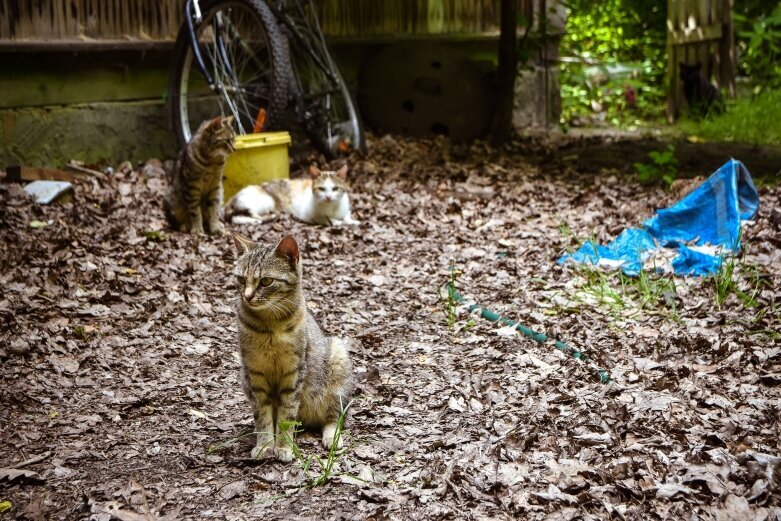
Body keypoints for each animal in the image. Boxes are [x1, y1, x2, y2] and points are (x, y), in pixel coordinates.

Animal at [225, 165, 360, 225]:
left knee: (237, 217)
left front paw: (352, 221)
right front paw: (337, 222)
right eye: (321, 189)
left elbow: (347, 215)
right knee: (242, 215)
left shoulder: (346, 208)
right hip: (267, 200)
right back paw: (268, 217)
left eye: (335, 188)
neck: (332, 207)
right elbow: (327, 218)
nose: (328, 197)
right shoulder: (308, 215)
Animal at [232, 232, 354, 460]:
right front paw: (265, 444)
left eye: (266, 281)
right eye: (241, 279)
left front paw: (283, 447)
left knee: (334, 417)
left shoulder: (294, 371)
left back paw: (331, 437)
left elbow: (286, 415)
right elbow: (262, 415)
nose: (247, 296)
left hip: (337, 362)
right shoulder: (254, 372)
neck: (269, 325)